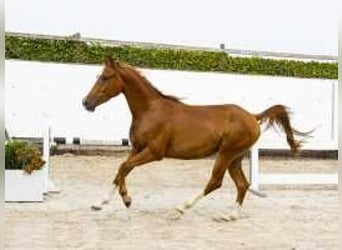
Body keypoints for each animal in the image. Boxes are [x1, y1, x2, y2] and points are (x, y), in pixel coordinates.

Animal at [82, 56, 310, 221]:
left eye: (105, 77)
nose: (86, 102)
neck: (150, 111)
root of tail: (253, 117)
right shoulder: (137, 149)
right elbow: (121, 170)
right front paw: (100, 203)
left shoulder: (154, 153)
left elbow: (123, 167)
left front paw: (127, 200)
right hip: (235, 158)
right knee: (242, 185)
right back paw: (230, 215)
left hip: (226, 154)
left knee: (215, 182)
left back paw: (180, 209)